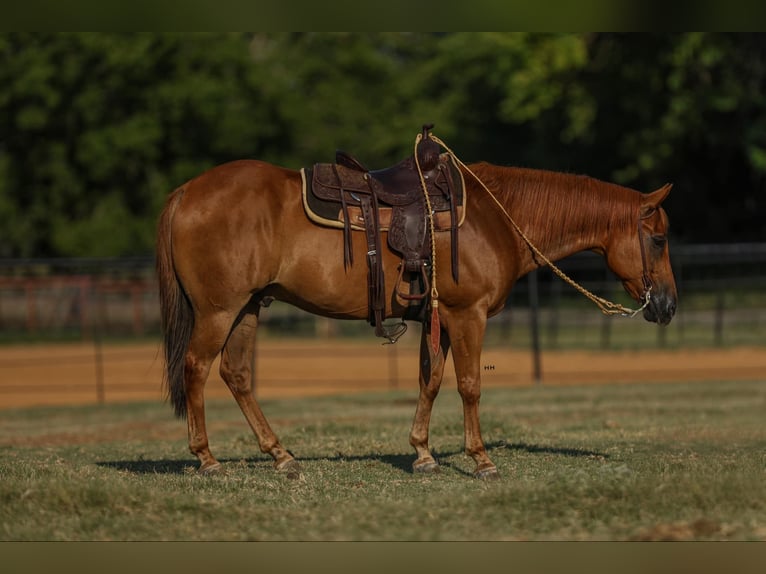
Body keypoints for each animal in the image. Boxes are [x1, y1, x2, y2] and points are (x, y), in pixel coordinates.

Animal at [158, 154, 680, 482]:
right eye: (658, 239)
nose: (669, 305)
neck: (496, 216)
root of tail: (185, 192)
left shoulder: (442, 317)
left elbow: (430, 381)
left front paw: (423, 453)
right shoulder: (468, 315)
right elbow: (469, 385)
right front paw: (481, 460)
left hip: (247, 308)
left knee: (237, 375)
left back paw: (282, 457)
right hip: (219, 311)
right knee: (196, 369)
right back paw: (207, 460)